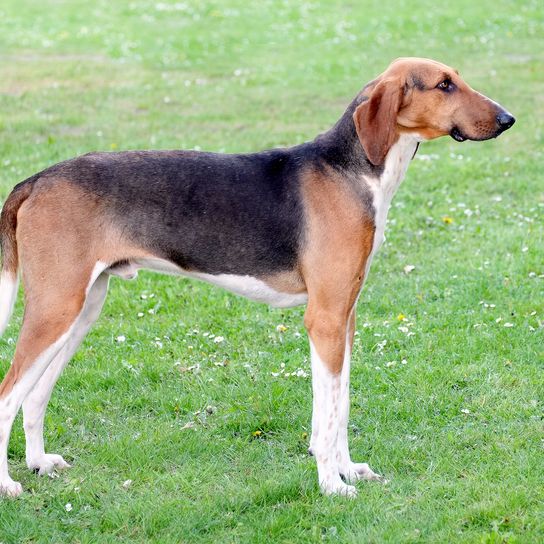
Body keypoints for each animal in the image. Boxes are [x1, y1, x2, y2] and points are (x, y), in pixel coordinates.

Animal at [0, 58, 516, 498]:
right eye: (444, 84)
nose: (508, 119)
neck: (353, 171)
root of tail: (37, 179)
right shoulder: (324, 320)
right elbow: (327, 417)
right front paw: (331, 485)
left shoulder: (345, 318)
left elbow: (340, 407)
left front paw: (348, 470)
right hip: (56, 310)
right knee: (9, 396)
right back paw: (8, 485)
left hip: (80, 311)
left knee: (35, 395)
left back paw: (40, 462)